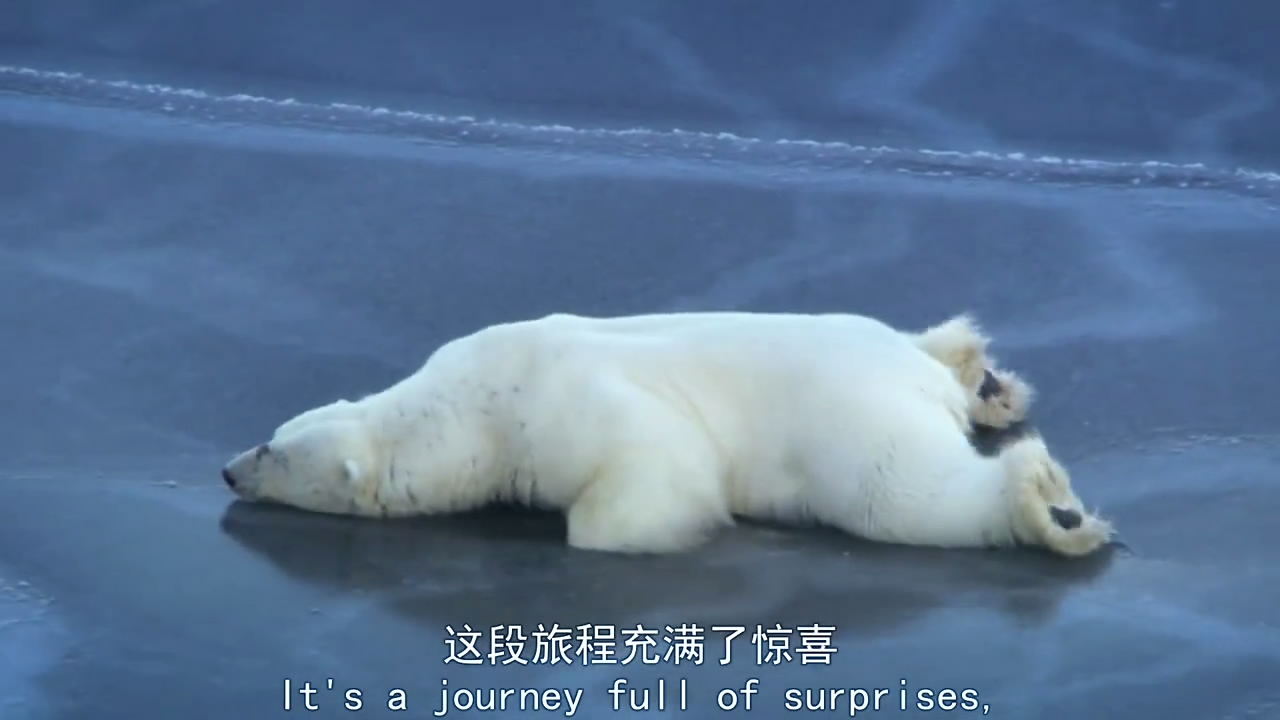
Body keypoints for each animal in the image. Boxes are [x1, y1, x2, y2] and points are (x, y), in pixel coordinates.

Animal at [220, 311, 1114, 558]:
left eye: (269, 449)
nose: (226, 470)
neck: (463, 407)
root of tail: (913, 374)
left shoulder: (565, 412)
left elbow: (647, 483)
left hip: (854, 423)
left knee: (906, 495)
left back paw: (1052, 511)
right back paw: (984, 379)